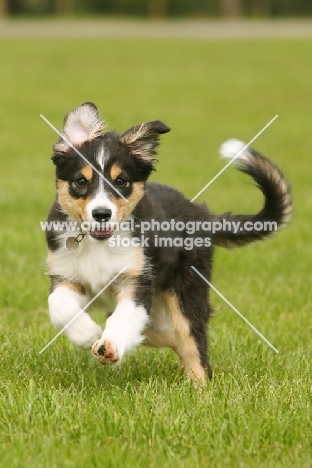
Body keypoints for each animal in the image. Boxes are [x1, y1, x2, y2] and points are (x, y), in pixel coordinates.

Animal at [45, 103, 292, 384]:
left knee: (193, 343)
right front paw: (87, 334)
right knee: (169, 338)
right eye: (81, 181)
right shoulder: (65, 275)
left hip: (186, 291)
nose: (101, 214)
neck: (98, 245)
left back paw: (200, 387)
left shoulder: (136, 280)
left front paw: (109, 345)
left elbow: (124, 317)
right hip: (157, 318)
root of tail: (203, 214)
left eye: (121, 181)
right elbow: (59, 305)